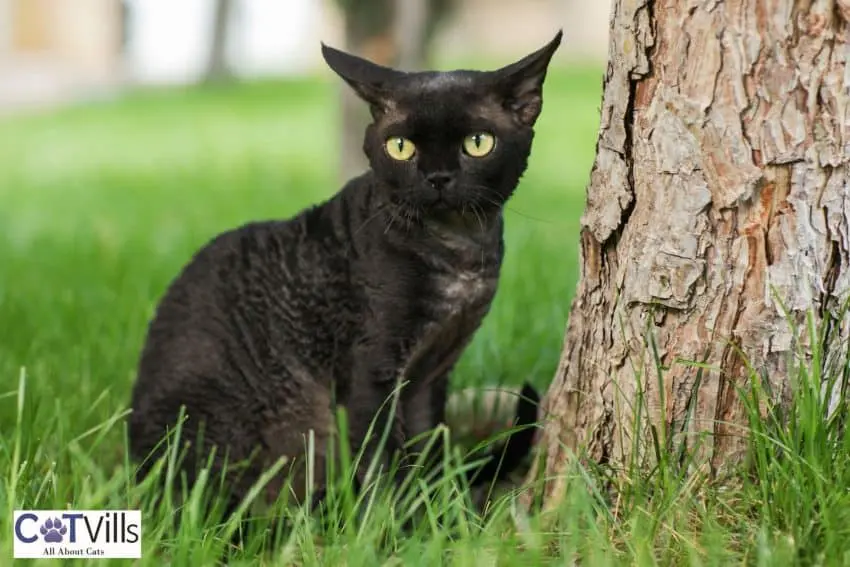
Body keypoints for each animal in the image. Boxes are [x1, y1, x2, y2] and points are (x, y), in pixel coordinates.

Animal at [129, 30, 560, 520]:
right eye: (400, 147)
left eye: (478, 142)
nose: (437, 178)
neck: (463, 254)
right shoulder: (372, 372)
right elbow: (382, 465)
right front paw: (393, 526)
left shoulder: (431, 371)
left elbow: (428, 451)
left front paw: (439, 518)